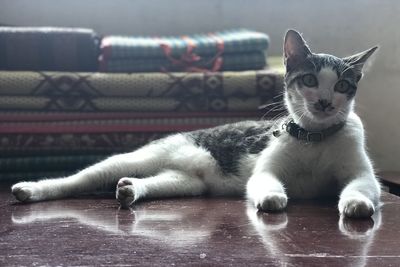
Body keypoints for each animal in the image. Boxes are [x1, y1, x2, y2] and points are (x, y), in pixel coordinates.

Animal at [10, 29, 380, 219]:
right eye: (309, 80)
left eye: (342, 86)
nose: (325, 102)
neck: (314, 137)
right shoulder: (267, 168)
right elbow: (266, 181)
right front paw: (273, 196)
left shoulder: (361, 172)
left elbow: (362, 185)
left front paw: (356, 203)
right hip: (132, 159)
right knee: (77, 179)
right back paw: (33, 189)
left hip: (185, 182)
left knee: (154, 182)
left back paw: (130, 189)